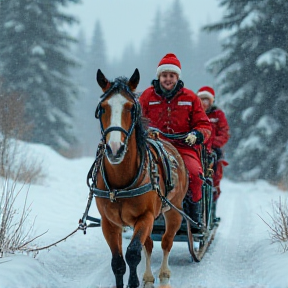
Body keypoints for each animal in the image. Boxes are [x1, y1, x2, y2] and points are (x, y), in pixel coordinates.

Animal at [93, 69, 188, 288]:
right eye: (102, 108)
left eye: (131, 108)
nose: (115, 149)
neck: (120, 184)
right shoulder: (108, 223)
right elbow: (118, 262)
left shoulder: (145, 217)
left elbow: (133, 253)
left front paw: (134, 281)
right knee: (150, 245)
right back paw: (148, 276)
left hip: (174, 210)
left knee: (166, 241)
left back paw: (163, 274)